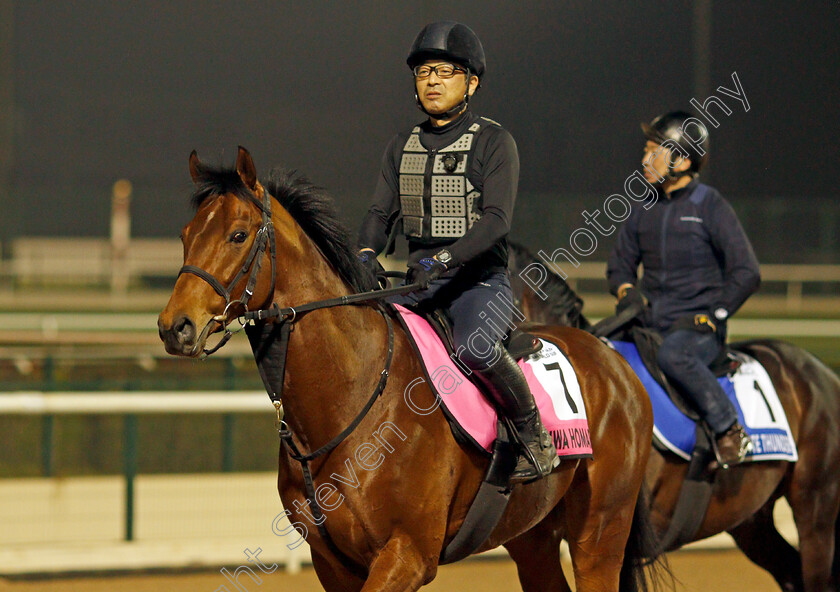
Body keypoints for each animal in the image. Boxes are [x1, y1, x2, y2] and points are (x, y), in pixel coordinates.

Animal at [156, 146, 656, 588]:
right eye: (185, 235)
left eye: (238, 235)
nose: (174, 327)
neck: (354, 396)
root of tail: (614, 361)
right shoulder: (334, 564)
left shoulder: (407, 555)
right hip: (533, 536)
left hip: (600, 533)